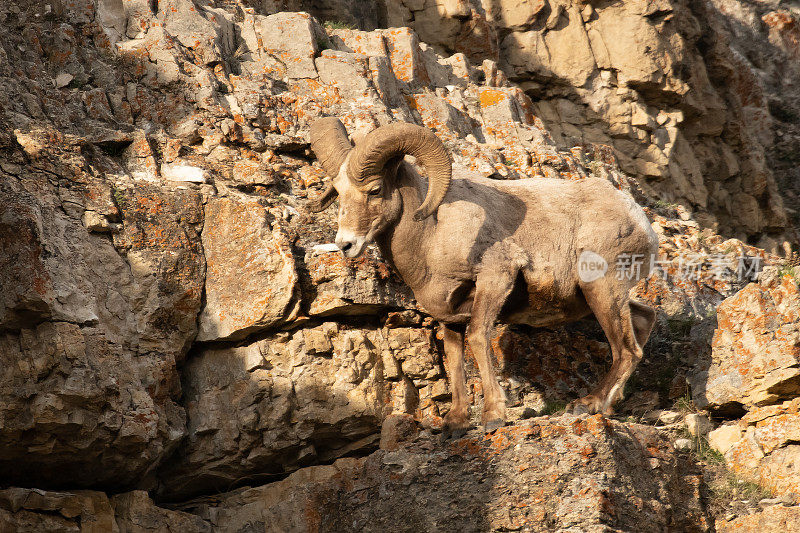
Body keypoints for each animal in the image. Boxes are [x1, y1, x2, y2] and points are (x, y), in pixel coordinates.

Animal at [306, 117, 656, 432]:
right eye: (338, 193)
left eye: (375, 189)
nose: (346, 244)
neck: (431, 236)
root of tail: (638, 219)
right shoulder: (447, 312)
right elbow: (454, 356)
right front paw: (456, 422)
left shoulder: (495, 278)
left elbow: (477, 337)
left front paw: (493, 416)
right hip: (600, 297)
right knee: (643, 320)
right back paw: (609, 406)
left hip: (601, 287)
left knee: (627, 349)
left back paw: (587, 404)